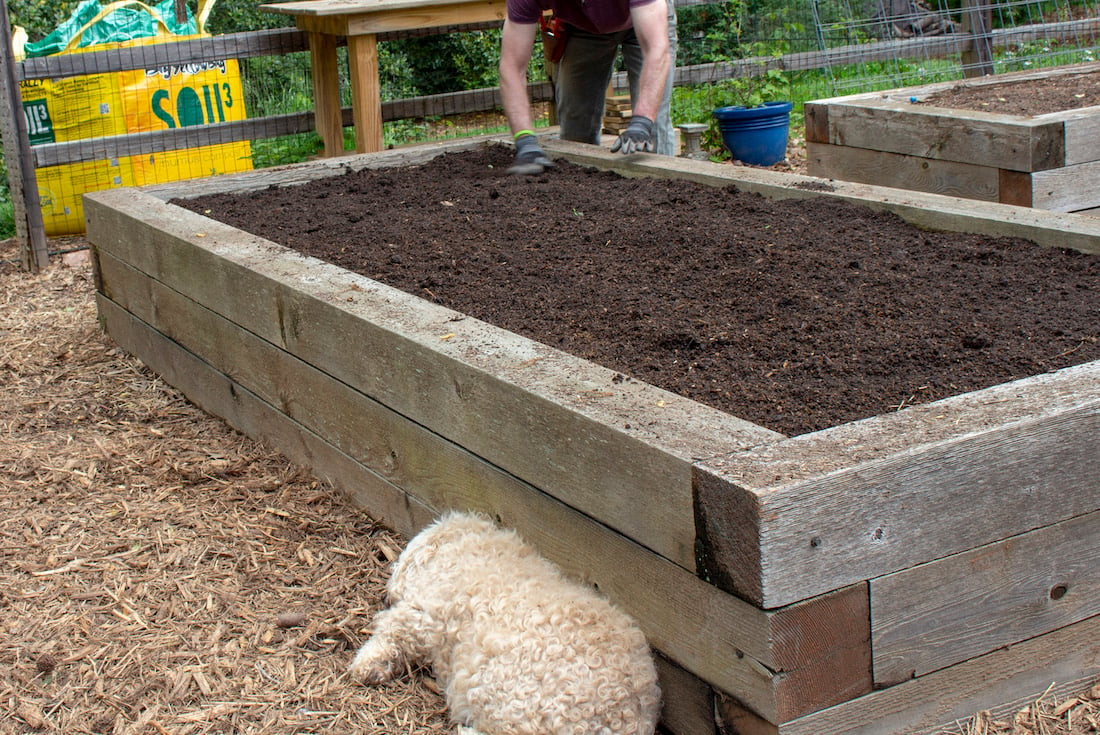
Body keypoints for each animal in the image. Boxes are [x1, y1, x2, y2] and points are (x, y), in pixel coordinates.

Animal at [349, 510, 660, 735]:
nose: (386, 594)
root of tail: (626, 715)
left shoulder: (425, 614)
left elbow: (392, 634)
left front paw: (365, 666)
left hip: (511, 703)